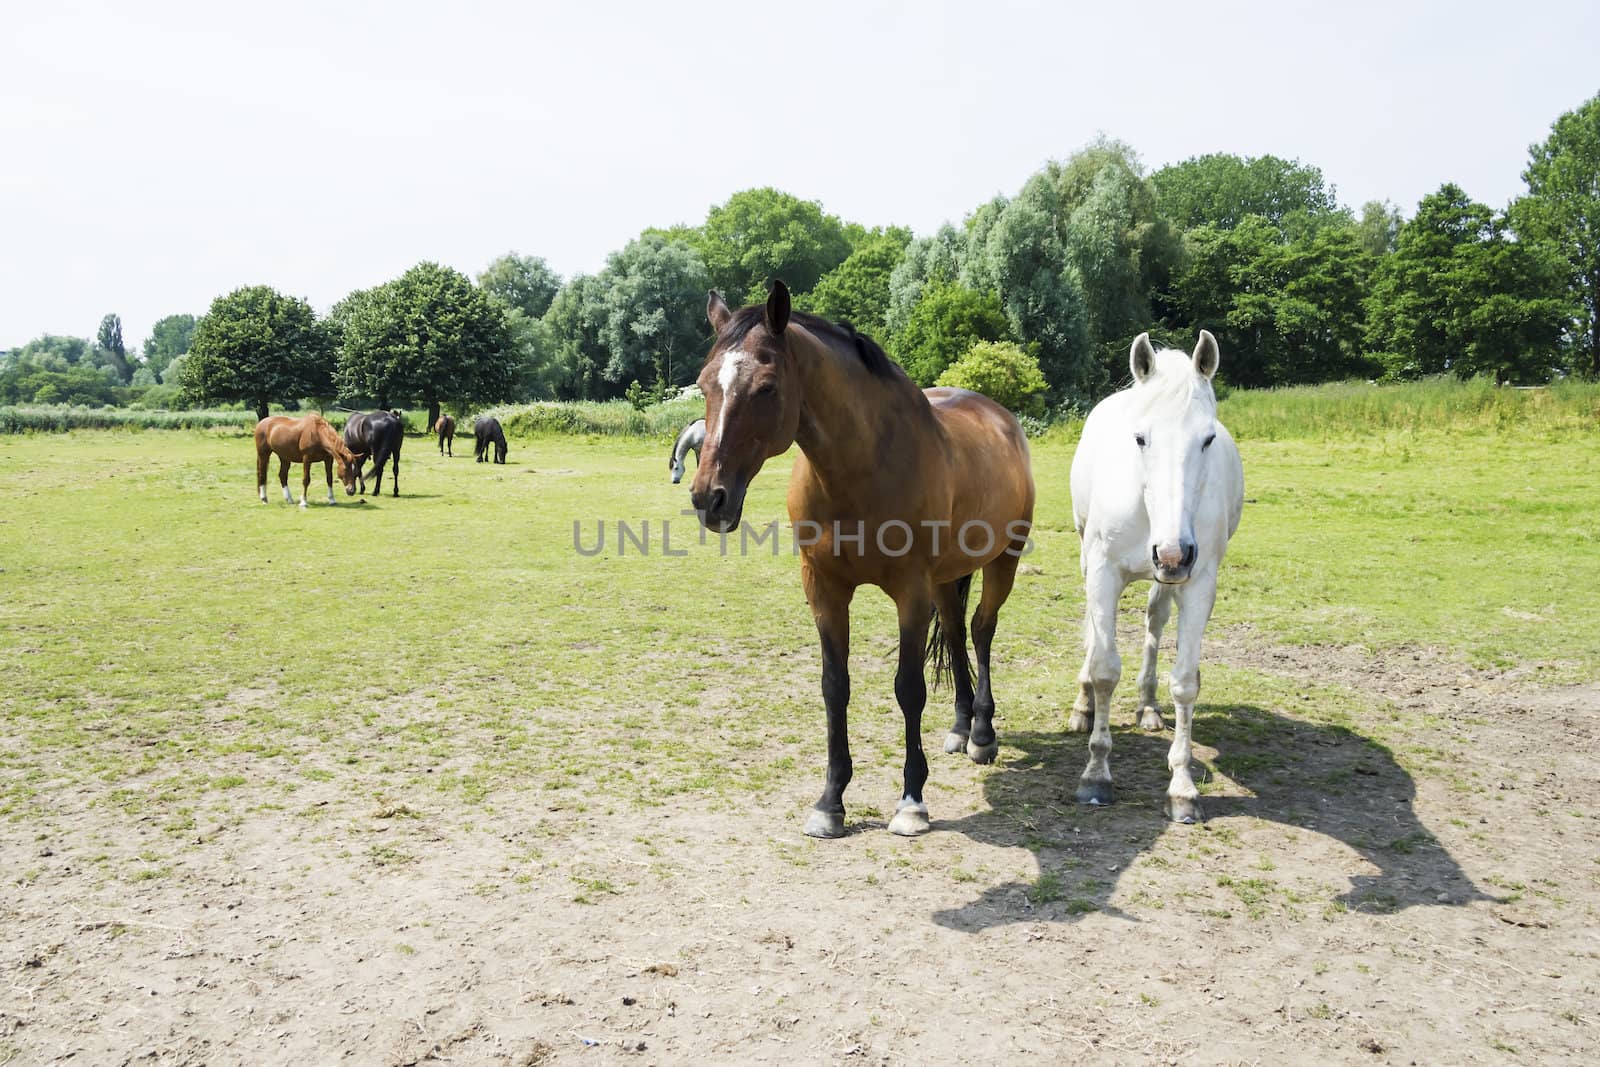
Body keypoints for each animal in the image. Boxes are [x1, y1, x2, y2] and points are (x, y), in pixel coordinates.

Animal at [688, 283, 1036, 844]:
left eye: (766, 387)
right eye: (704, 384)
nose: (708, 498)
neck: (862, 468)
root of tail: (1000, 417)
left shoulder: (910, 593)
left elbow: (909, 688)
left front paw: (912, 801)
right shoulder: (825, 589)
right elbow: (835, 687)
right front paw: (831, 801)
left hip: (1003, 559)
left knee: (982, 631)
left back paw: (982, 733)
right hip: (946, 579)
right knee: (956, 633)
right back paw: (960, 727)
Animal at [1068, 334, 1241, 825]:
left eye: (1207, 439)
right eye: (1140, 438)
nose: (1172, 552)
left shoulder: (1198, 582)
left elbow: (1185, 682)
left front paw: (1182, 788)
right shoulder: (1103, 571)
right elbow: (1105, 669)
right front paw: (1096, 775)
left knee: (1154, 620)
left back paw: (1147, 705)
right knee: (1093, 633)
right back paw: (1083, 705)